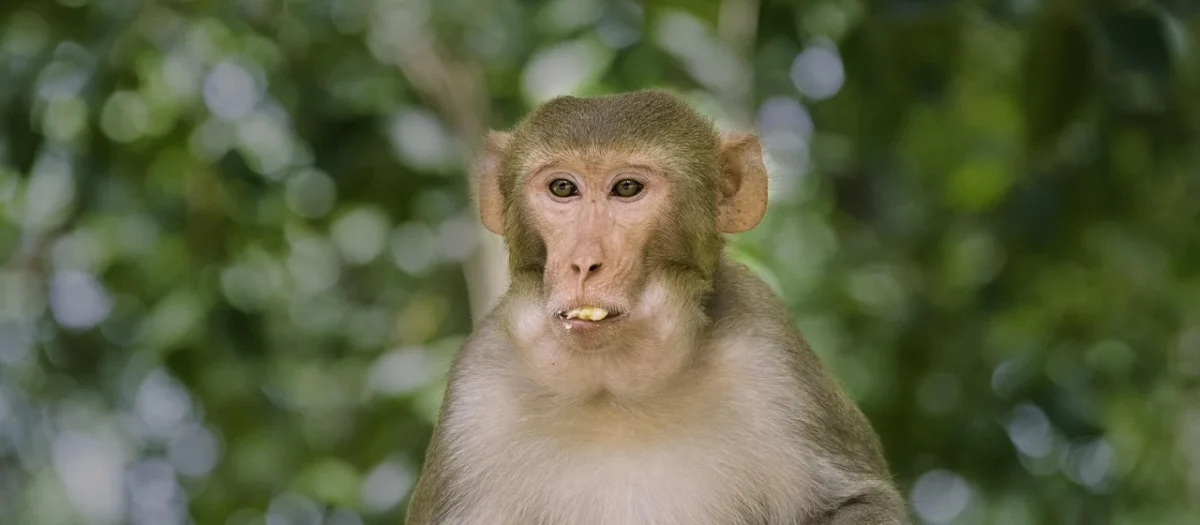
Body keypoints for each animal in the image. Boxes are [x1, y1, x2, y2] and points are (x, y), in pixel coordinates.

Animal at [405, 90, 909, 525]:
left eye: (627, 188)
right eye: (563, 188)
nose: (583, 262)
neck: (613, 389)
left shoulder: (771, 355)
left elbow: (862, 502)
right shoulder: (476, 391)